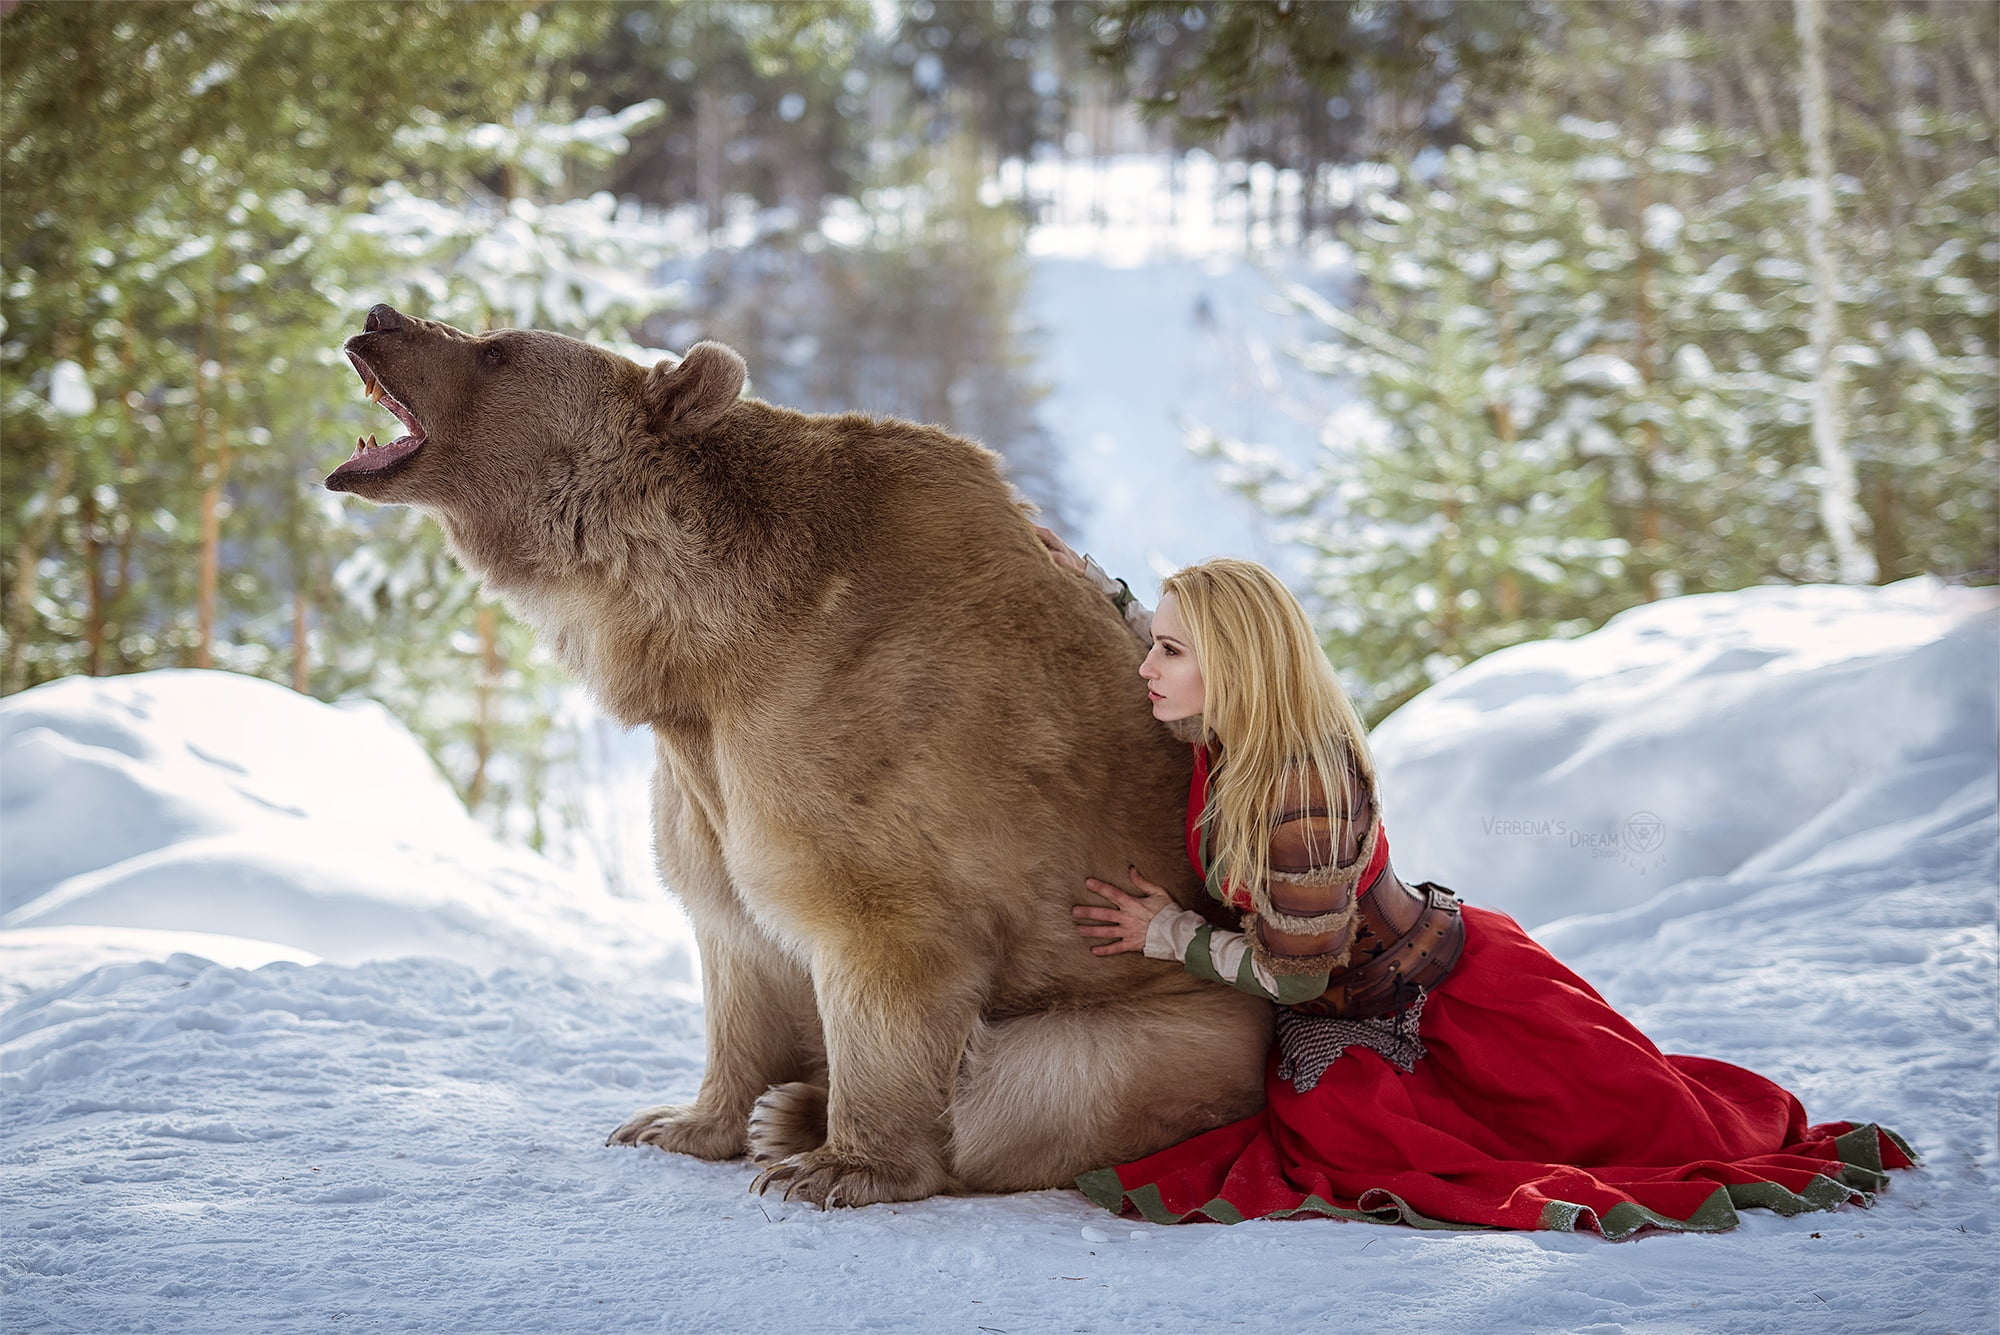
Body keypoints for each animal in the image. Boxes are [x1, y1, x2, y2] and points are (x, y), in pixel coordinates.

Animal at [323, 304, 1269, 1207]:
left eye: (497, 351)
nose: (380, 316)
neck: (702, 643)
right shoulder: (705, 774)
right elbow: (733, 940)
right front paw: (679, 1119)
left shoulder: (858, 733)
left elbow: (879, 936)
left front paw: (838, 1166)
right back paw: (785, 1108)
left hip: (1179, 1029)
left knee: (1027, 1088)